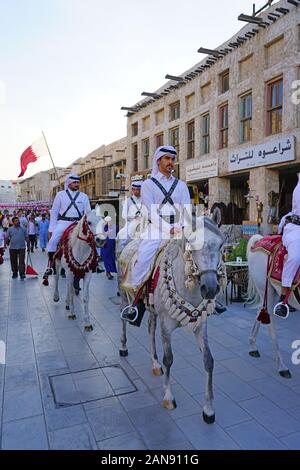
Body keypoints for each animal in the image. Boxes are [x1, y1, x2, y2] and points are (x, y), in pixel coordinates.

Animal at [118, 211, 224, 424]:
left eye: (221, 245)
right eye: (191, 245)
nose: (210, 288)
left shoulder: (201, 325)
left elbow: (208, 360)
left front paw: (208, 409)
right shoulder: (166, 325)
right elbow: (169, 358)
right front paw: (168, 397)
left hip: (151, 309)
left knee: (150, 329)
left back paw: (154, 363)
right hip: (124, 295)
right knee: (123, 320)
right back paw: (123, 347)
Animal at [246, 235, 296, 378]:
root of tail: (258, 240)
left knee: (260, 312)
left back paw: (253, 346)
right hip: (266, 290)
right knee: (270, 324)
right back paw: (282, 367)